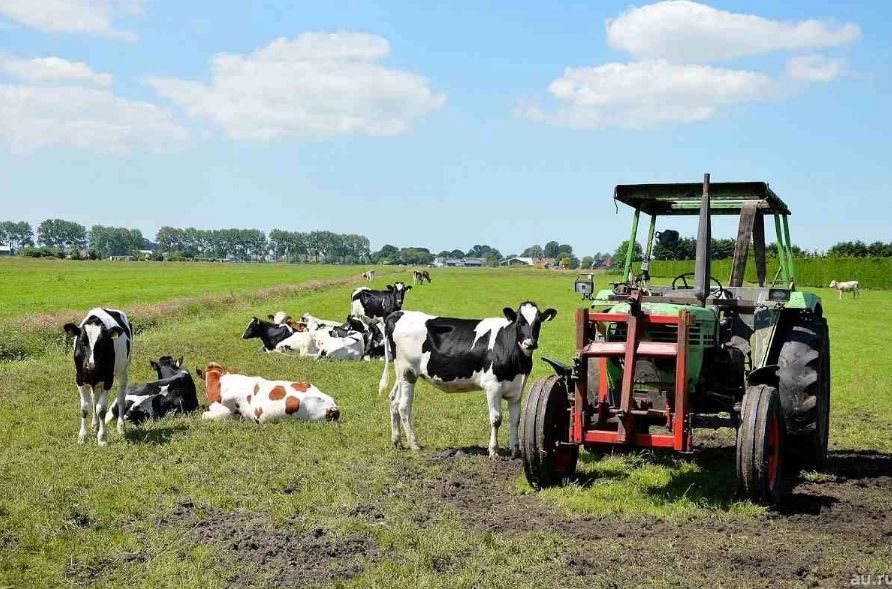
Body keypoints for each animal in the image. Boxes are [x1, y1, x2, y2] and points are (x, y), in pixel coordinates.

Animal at [63, 306, 132, 444]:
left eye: (101, 343)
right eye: (82, 341)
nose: (90, 366)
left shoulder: (108, 380)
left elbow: (102, 409)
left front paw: (102, 437)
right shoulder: (79, 379)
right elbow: (85, 408)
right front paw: (82, 436)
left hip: (123, 371)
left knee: (121, 398)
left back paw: (120, 426)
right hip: (95, 382)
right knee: (94, 398)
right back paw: (95, 424)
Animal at [378, 300, 556, 458]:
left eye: (538, 322)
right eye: (519, 322)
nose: (530, 343)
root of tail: (399, 313)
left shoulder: (517, 389)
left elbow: (515, 420)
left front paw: (515, 451)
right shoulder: (493, 386)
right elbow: (496, 419)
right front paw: (493, 451)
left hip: (402, 374)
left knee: (393, 400)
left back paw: (397, 441)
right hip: (407, 371)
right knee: (403, 406)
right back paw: (414, 444)